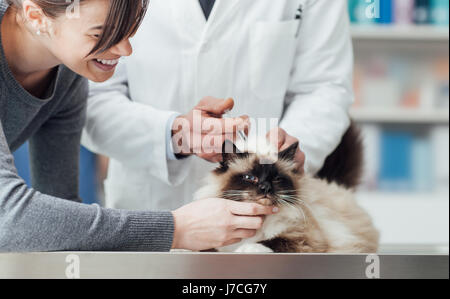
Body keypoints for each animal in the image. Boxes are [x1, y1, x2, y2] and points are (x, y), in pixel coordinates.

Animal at [194, 125, 380, 254]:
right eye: (250, 178)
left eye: (276, 178)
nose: (265, 187)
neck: (261, 219)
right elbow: (204, 249)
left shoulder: (306, 239)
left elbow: (271, 241)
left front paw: (247, 249)